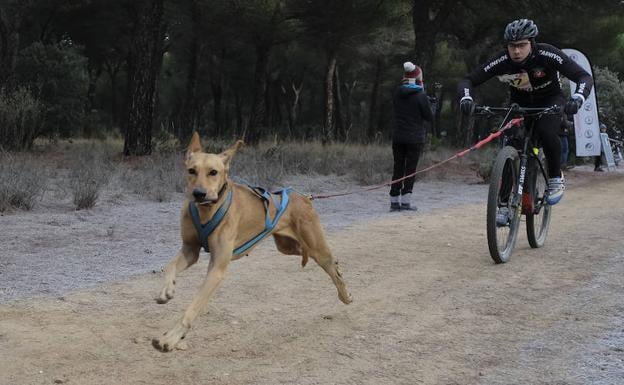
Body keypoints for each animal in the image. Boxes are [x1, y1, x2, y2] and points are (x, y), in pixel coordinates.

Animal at [152, 132, 352, 352]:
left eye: (213, 172)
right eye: (191, 171)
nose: (198, 193)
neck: (208, 210)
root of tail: (303, 197)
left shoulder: (217, 269)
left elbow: (194, 306)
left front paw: (172, 336)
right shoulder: (190, 250)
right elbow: (169, 266)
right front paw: (166, 290)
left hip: (317, 248)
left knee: (332, 268)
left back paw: (345, 294)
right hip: (287, 246)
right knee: (309, 254)